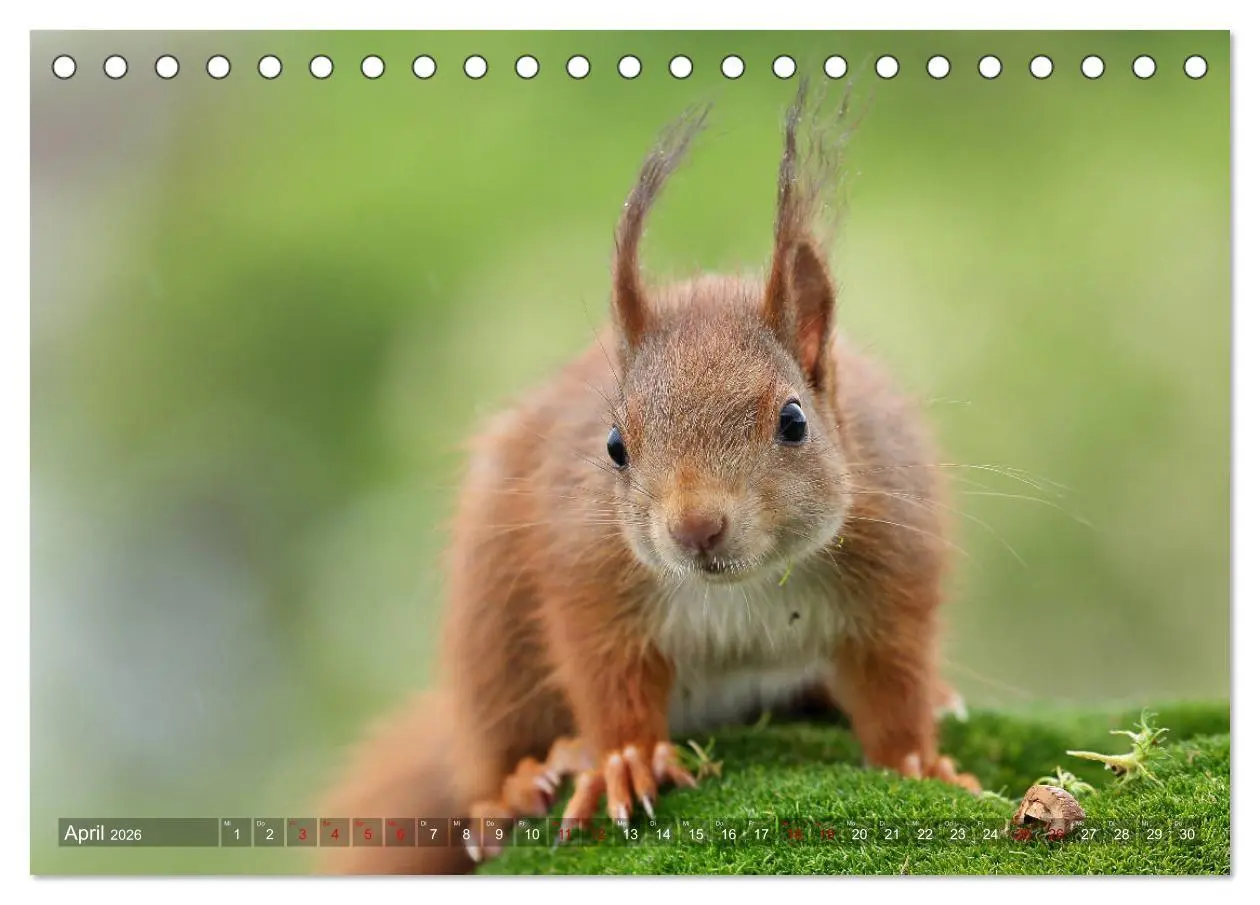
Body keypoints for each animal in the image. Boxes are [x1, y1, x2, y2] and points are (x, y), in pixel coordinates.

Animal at [318, 83, 979, 875]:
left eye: (794, 421)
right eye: (614, 446)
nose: (695, 527)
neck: (745, 589)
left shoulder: (895, 564)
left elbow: (894, 681)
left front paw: (918, 759)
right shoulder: (589, 573)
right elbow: (607, 677)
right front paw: (623, 762)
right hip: (489, 636)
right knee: (491, 743)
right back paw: (516, 785)